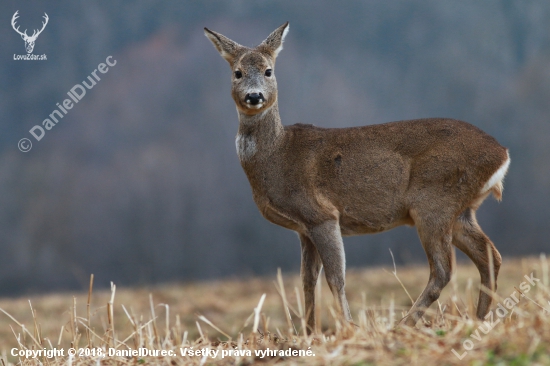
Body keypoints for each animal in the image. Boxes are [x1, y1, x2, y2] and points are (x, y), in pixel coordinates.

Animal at [206, 22, 512, 332]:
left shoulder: (322, 214)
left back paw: (403, 324)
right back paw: (479, 320)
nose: (254, 96)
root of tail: (502, 153)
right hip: (460, 211)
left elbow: (336, 279)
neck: (278, 156)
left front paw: (347, 328)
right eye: (237, 72)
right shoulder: (303, 228)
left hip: (433, 202)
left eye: (269, 70)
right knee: (490, 256)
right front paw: (309, 333)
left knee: (443, 270)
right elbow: (307, 281)